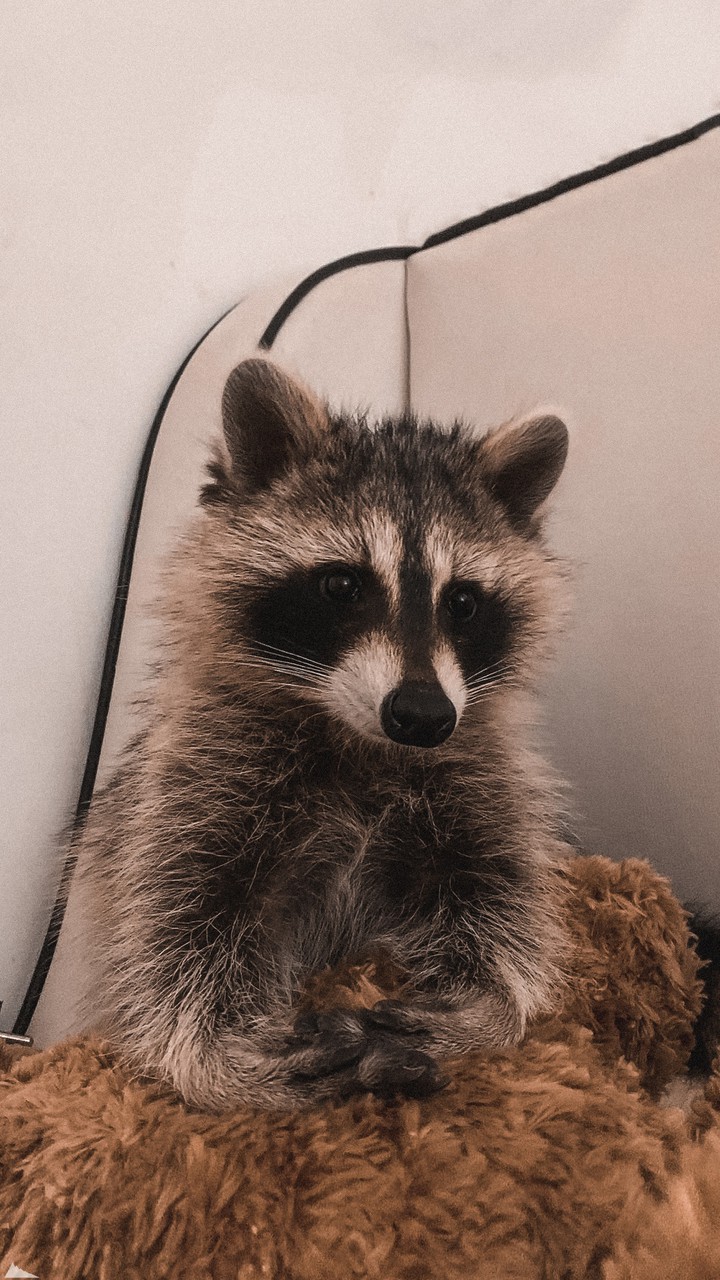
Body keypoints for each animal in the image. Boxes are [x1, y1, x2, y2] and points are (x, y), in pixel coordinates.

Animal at [77, 358, 572, 1111]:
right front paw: (216, 1056)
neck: (362, 742)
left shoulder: (480, 783)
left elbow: (501, 907)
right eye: (342, 585)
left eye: (462, 602)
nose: (423, 715)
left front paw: (484, 1006)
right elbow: (171, 927)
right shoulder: (196, 778)